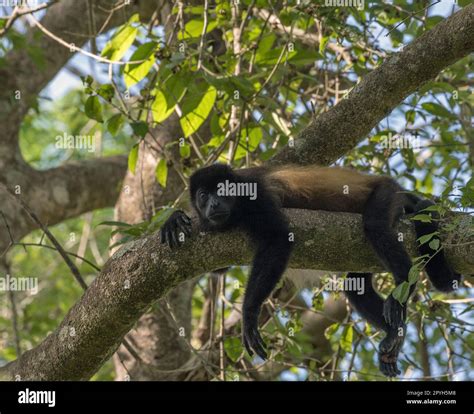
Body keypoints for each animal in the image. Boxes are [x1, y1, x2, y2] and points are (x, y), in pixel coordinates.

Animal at [159, 163, 460, 376]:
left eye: (221, 191)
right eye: (203, 195)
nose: (213, 204)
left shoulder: (254, 194)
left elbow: (279, 238)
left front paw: (249, 315)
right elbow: (219, 268)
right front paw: (175, 219)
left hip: (387, 193)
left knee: (375, 224)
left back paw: (402, 286)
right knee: (356, 287)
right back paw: (393, 335)